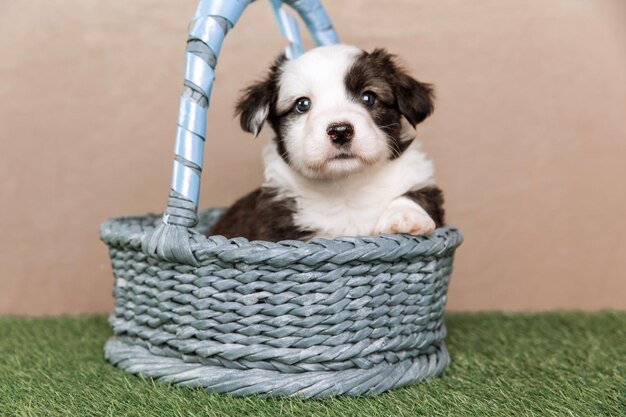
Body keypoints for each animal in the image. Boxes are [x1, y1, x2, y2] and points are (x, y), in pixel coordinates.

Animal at [210, 44, 444, 240]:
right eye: (302, 104)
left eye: (368, 97)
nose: (340, 132)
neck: (344, 188)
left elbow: (414, 194)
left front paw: (405, 217)